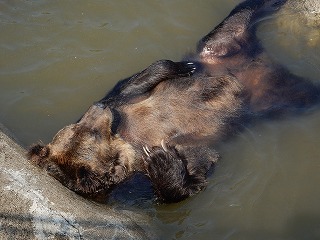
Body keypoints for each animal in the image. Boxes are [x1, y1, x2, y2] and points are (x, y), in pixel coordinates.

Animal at [28, 0, 320, 202]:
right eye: (94, 131)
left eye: (79, 126)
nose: (99, 108)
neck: (126, 144)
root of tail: (261, 62)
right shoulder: (137, 180)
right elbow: (191, 181)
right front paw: (161, 157)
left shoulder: (125, 100)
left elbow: (140, 80)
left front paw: (182, 68)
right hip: (276, 97)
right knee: (305, 94)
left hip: (219, 46)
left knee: (241, 14)